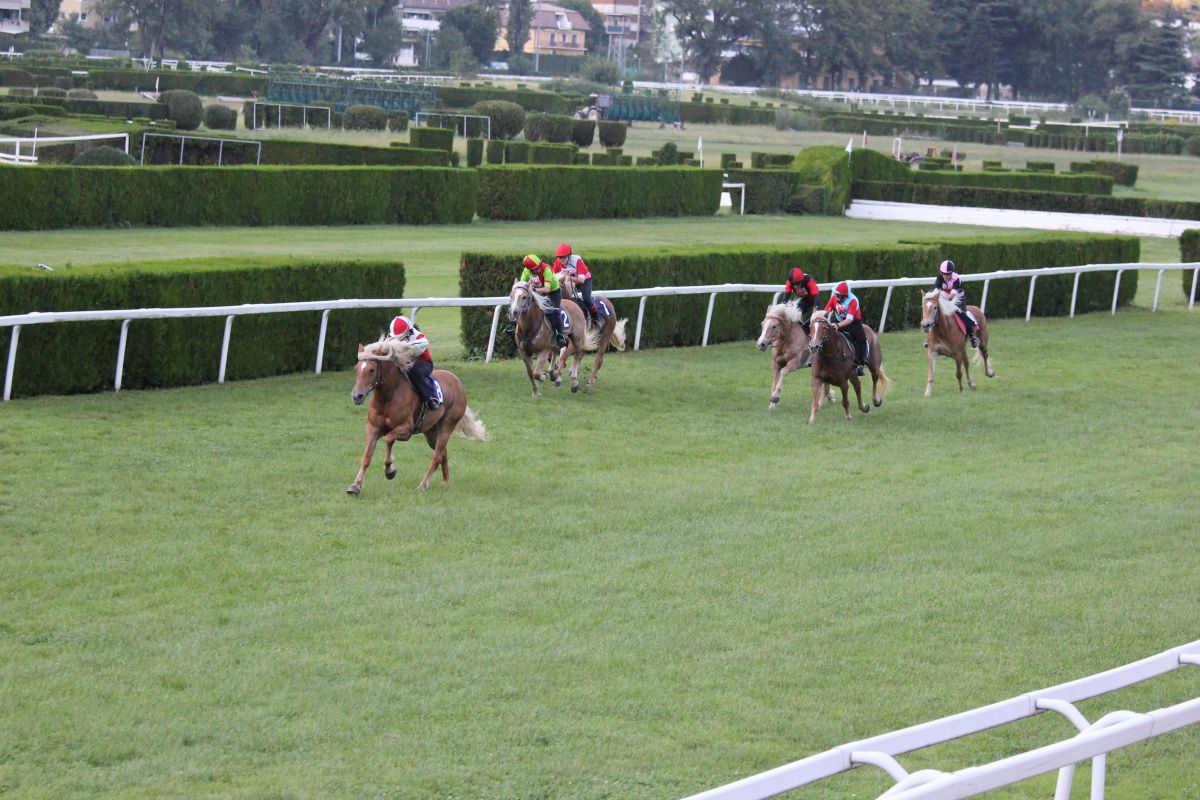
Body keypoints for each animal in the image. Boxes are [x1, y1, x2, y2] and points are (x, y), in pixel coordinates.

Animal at [348, 336, 488, 494]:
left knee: (436, 456)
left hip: (447, 426)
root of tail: (457, 382)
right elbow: (366, 457)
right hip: (431, 432)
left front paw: (390, 470)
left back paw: (423, 485)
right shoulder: (373, 428)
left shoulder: (406, 429)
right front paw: (355, 485)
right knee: (443, 453)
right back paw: (445, 481)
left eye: (371, 370)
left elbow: (388, 439)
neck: (388, 396)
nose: (357, 396)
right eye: (356, 369)